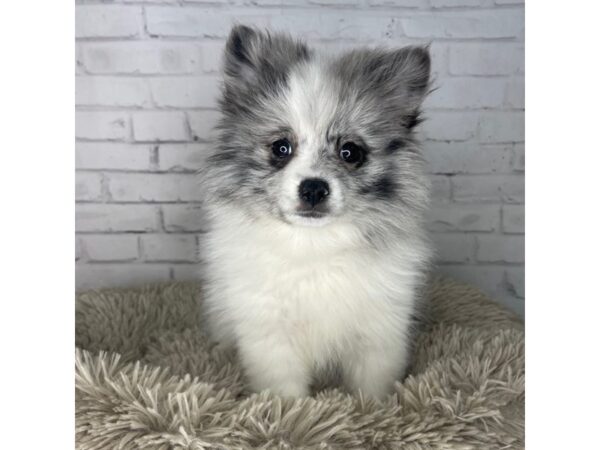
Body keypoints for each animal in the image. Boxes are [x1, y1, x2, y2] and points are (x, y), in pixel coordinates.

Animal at [200, 24, 432, 400]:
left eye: (350, 152)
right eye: (281, 148)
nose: (313, 188)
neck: (314, 246)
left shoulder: (377, 333)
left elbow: (372, 389)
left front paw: (376, 410)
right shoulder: (272, 338)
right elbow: (286, 394)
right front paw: (292, 413)